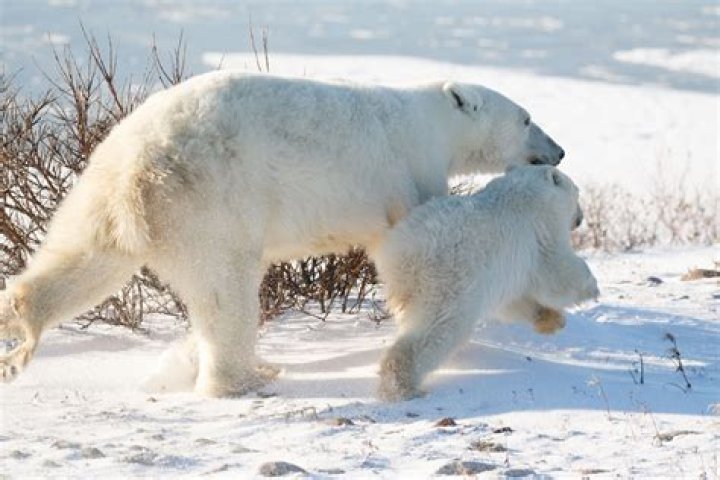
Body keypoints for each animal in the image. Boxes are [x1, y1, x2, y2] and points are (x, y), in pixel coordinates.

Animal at [0, 71, 565, 396]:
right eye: (526, 118)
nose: (558, 150)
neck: (429, 121)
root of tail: (138, 171)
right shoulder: (408, 171)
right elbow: (419, 244)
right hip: (210, 202)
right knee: (226, 292)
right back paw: (249, 377)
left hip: (99, 187)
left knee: (84, 259)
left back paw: (21, 325)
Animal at [373, 165, 598, 401]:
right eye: (577, 192)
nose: (580, 218)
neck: (525, 188)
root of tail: (402, 251)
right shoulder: (543, 226)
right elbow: (555, 269)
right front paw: (592, 288)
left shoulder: (502, 270)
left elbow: (513, 299)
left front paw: (551, 319)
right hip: (448, 279)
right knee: (438, 328)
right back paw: (403, 387)